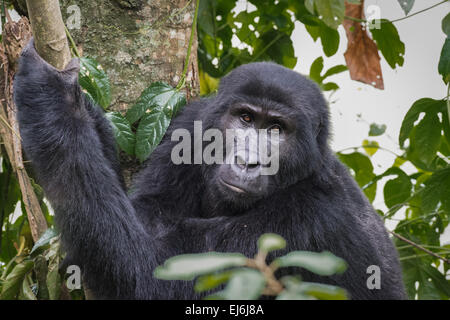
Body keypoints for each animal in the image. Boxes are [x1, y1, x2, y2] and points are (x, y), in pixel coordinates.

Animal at [14, 39, 406, 300]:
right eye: (245, 118)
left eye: (276, 130)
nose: (248, 161)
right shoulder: (191, 124)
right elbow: (143, 212)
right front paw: (81, 105)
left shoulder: (310, 219)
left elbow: (145, 272)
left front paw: (53, 96)